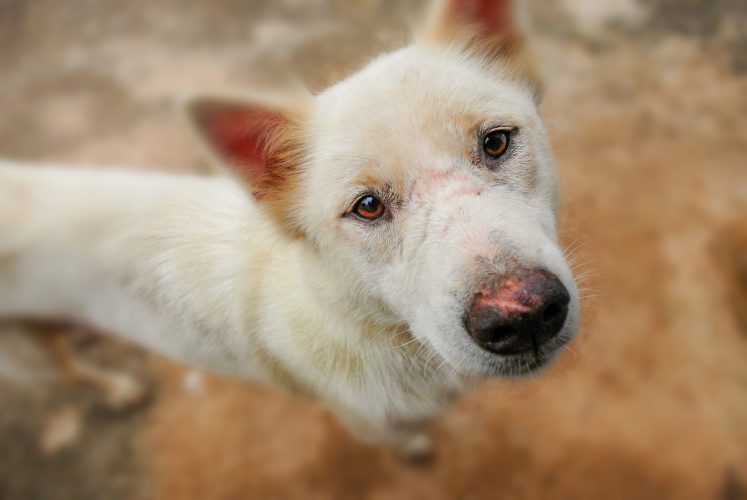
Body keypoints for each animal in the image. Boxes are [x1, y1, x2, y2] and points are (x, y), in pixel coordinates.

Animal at [0, 0, 580, 458]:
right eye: (367, 207)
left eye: (496, 142)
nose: (523, 314)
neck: (369, 327)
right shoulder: (368, 421)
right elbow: (397, 439)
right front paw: (415, 448)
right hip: (29, 358)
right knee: (69, 372)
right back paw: (115, 388)